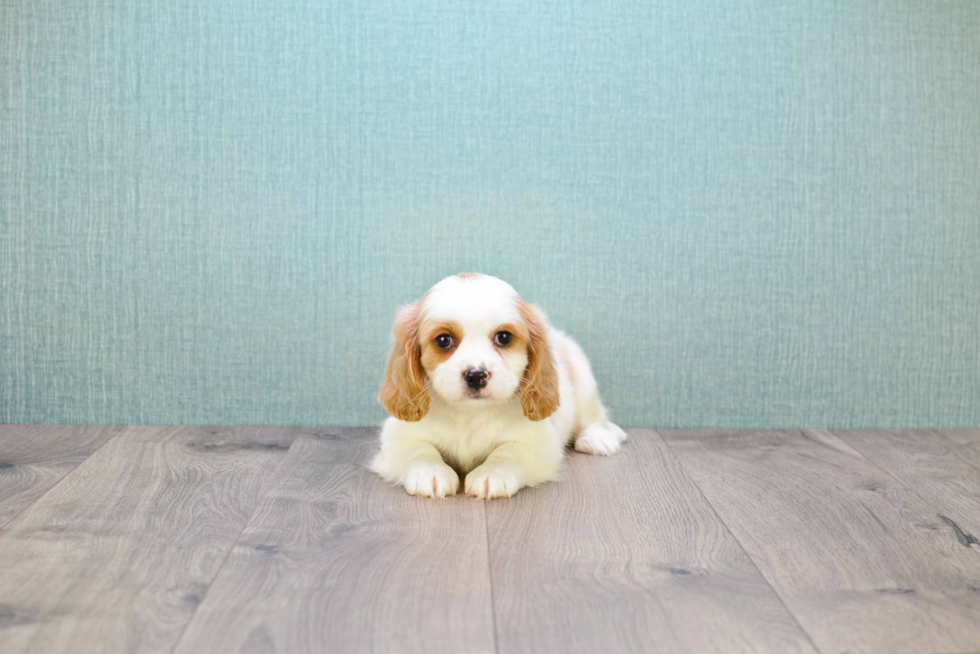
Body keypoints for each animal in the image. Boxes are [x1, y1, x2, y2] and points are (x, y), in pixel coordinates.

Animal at [372, 274, 624, 500]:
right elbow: (419, 450)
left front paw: (493, 474)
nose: (476, 375)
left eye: (503, 337)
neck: (470, 414)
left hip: (583, 381)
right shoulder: (397, 436)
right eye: (443, 340)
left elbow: (509, 452)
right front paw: (430, 472)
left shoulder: (540, 442)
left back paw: (596, 438)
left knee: (592, 416)